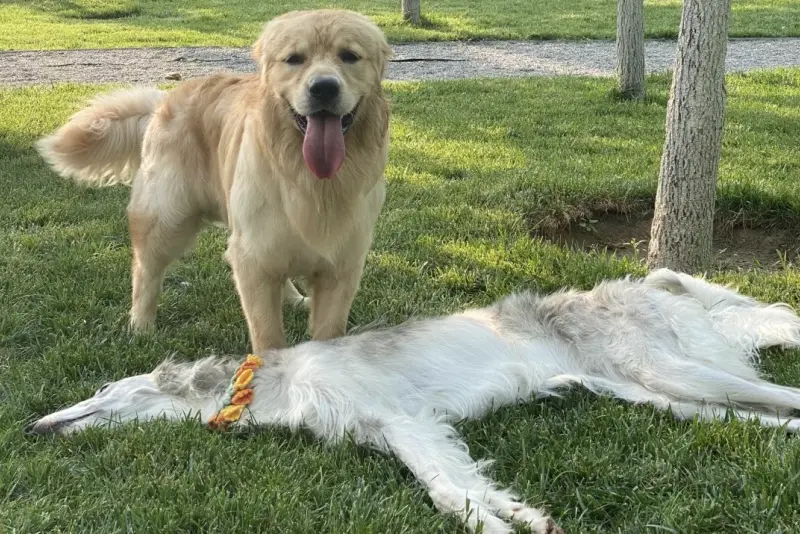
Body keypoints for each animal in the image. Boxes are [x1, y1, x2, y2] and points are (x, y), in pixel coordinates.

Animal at [29, 272, 800, 534]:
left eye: (99, 393)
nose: (35, 426)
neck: (273, 384)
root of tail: (643, 282)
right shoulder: (402, 431)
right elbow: (458, 486)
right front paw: (521, 517)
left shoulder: (398, 418)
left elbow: (447, 495)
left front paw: (498, 527)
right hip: (671, 398)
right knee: (769, 417)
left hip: (672, 369)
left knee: (787, 392)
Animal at [36, 10, 392, 354]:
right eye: (294, 59)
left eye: (349, 56)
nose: (324, 88)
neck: (311, 180)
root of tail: (164, 99)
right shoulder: (252, 259)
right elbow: (268, 336)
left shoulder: (341, 267)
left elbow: (328, 333)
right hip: (167, 219)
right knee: (146, 269)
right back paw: (141, 326)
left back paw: (291, 298)